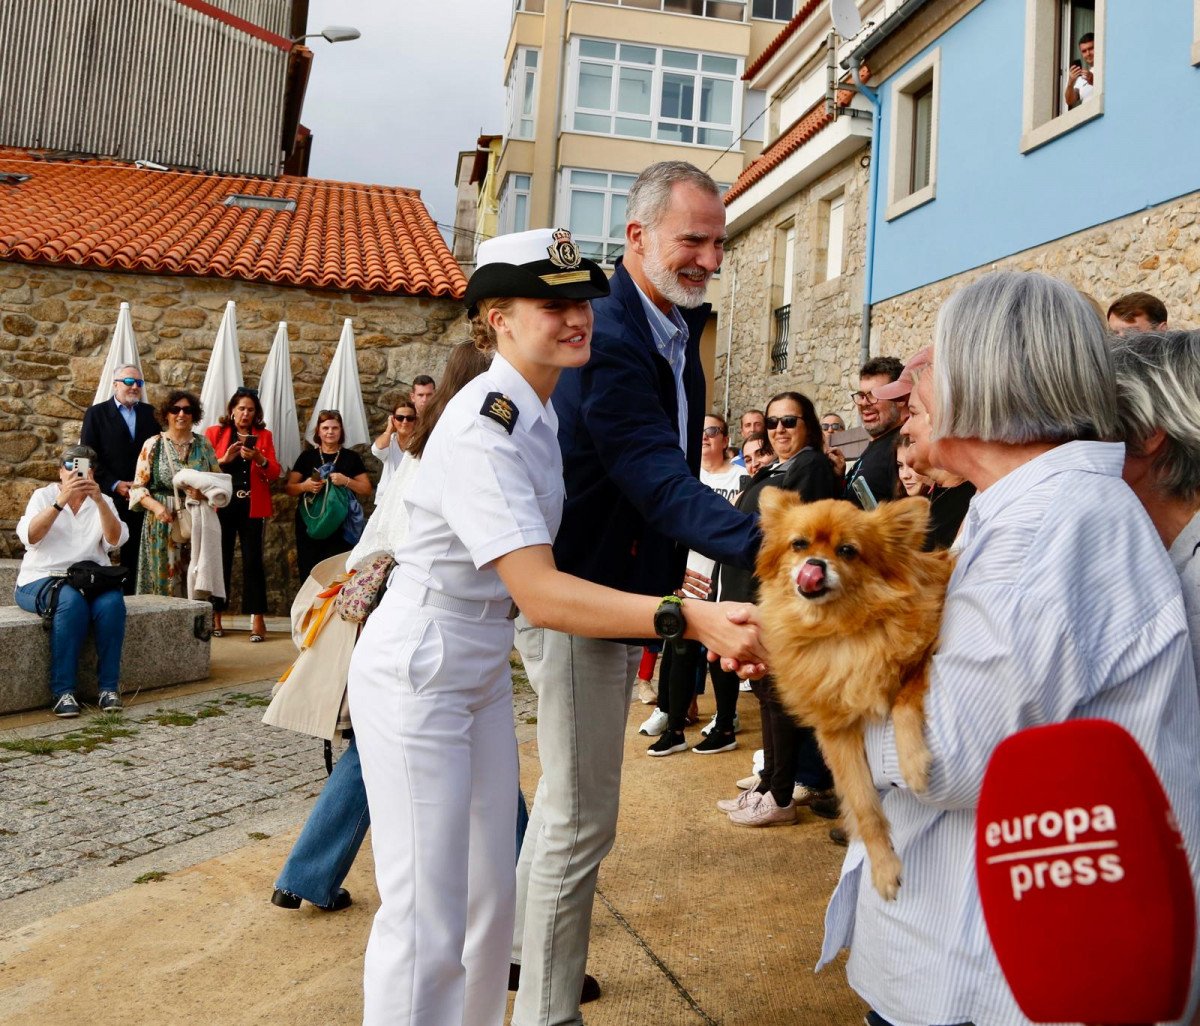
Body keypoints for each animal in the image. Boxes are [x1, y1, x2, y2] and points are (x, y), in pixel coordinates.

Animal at [753, 489, 950, 897]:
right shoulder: (836, 731)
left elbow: (905, 700)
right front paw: (885, 867)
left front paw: (913, 763)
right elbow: (864, 806)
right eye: (799, 544)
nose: (814, 565)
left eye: (847, 551)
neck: (838, 631)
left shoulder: (926, 653)